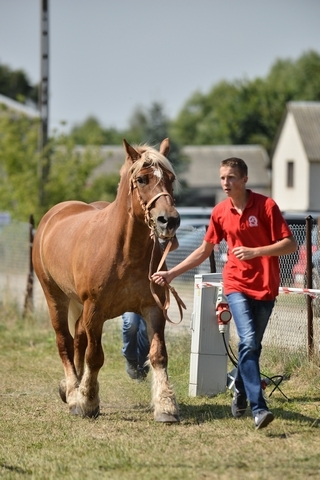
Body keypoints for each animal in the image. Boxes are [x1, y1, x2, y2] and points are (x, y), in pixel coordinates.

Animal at [34, 137, 182, 422]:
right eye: (142, 179)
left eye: (171, 178)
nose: (168, 220)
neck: (125, 252)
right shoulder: (95, 310)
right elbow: (95, 356)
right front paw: (87, 401)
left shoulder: (153, 308)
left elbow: (158, 355)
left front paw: (166, 405)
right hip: (55, 297)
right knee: (64, 341)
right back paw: (72, 392)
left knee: (78, 338)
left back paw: (73, 387)